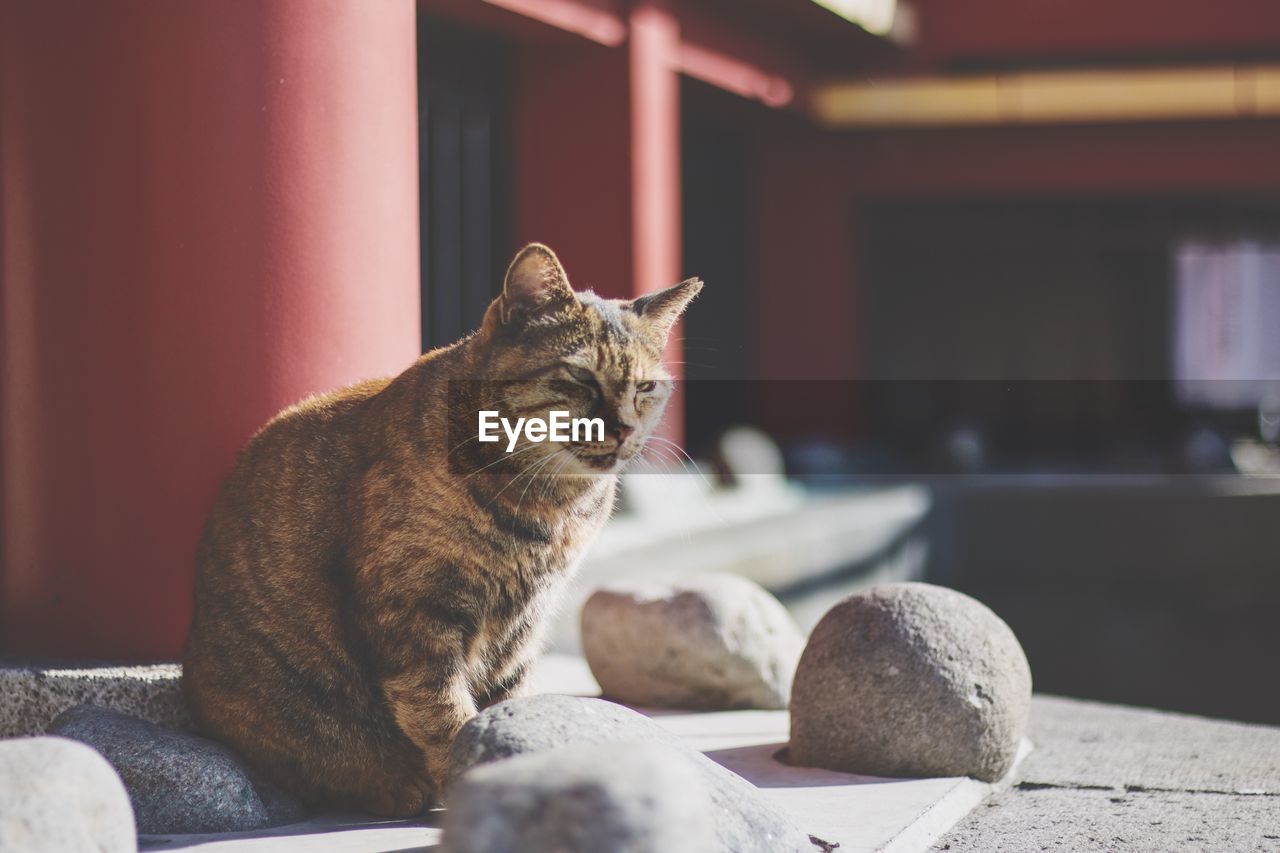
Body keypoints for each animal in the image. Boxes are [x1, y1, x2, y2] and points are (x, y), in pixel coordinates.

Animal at [180, 242, 701, 814]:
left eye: (646, 387)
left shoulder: (525, 623)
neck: (548, 508)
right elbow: (442, 710)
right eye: (581, 378)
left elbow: (503, 700)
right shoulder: (417, 615)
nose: (626, 428)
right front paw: (467, 773)